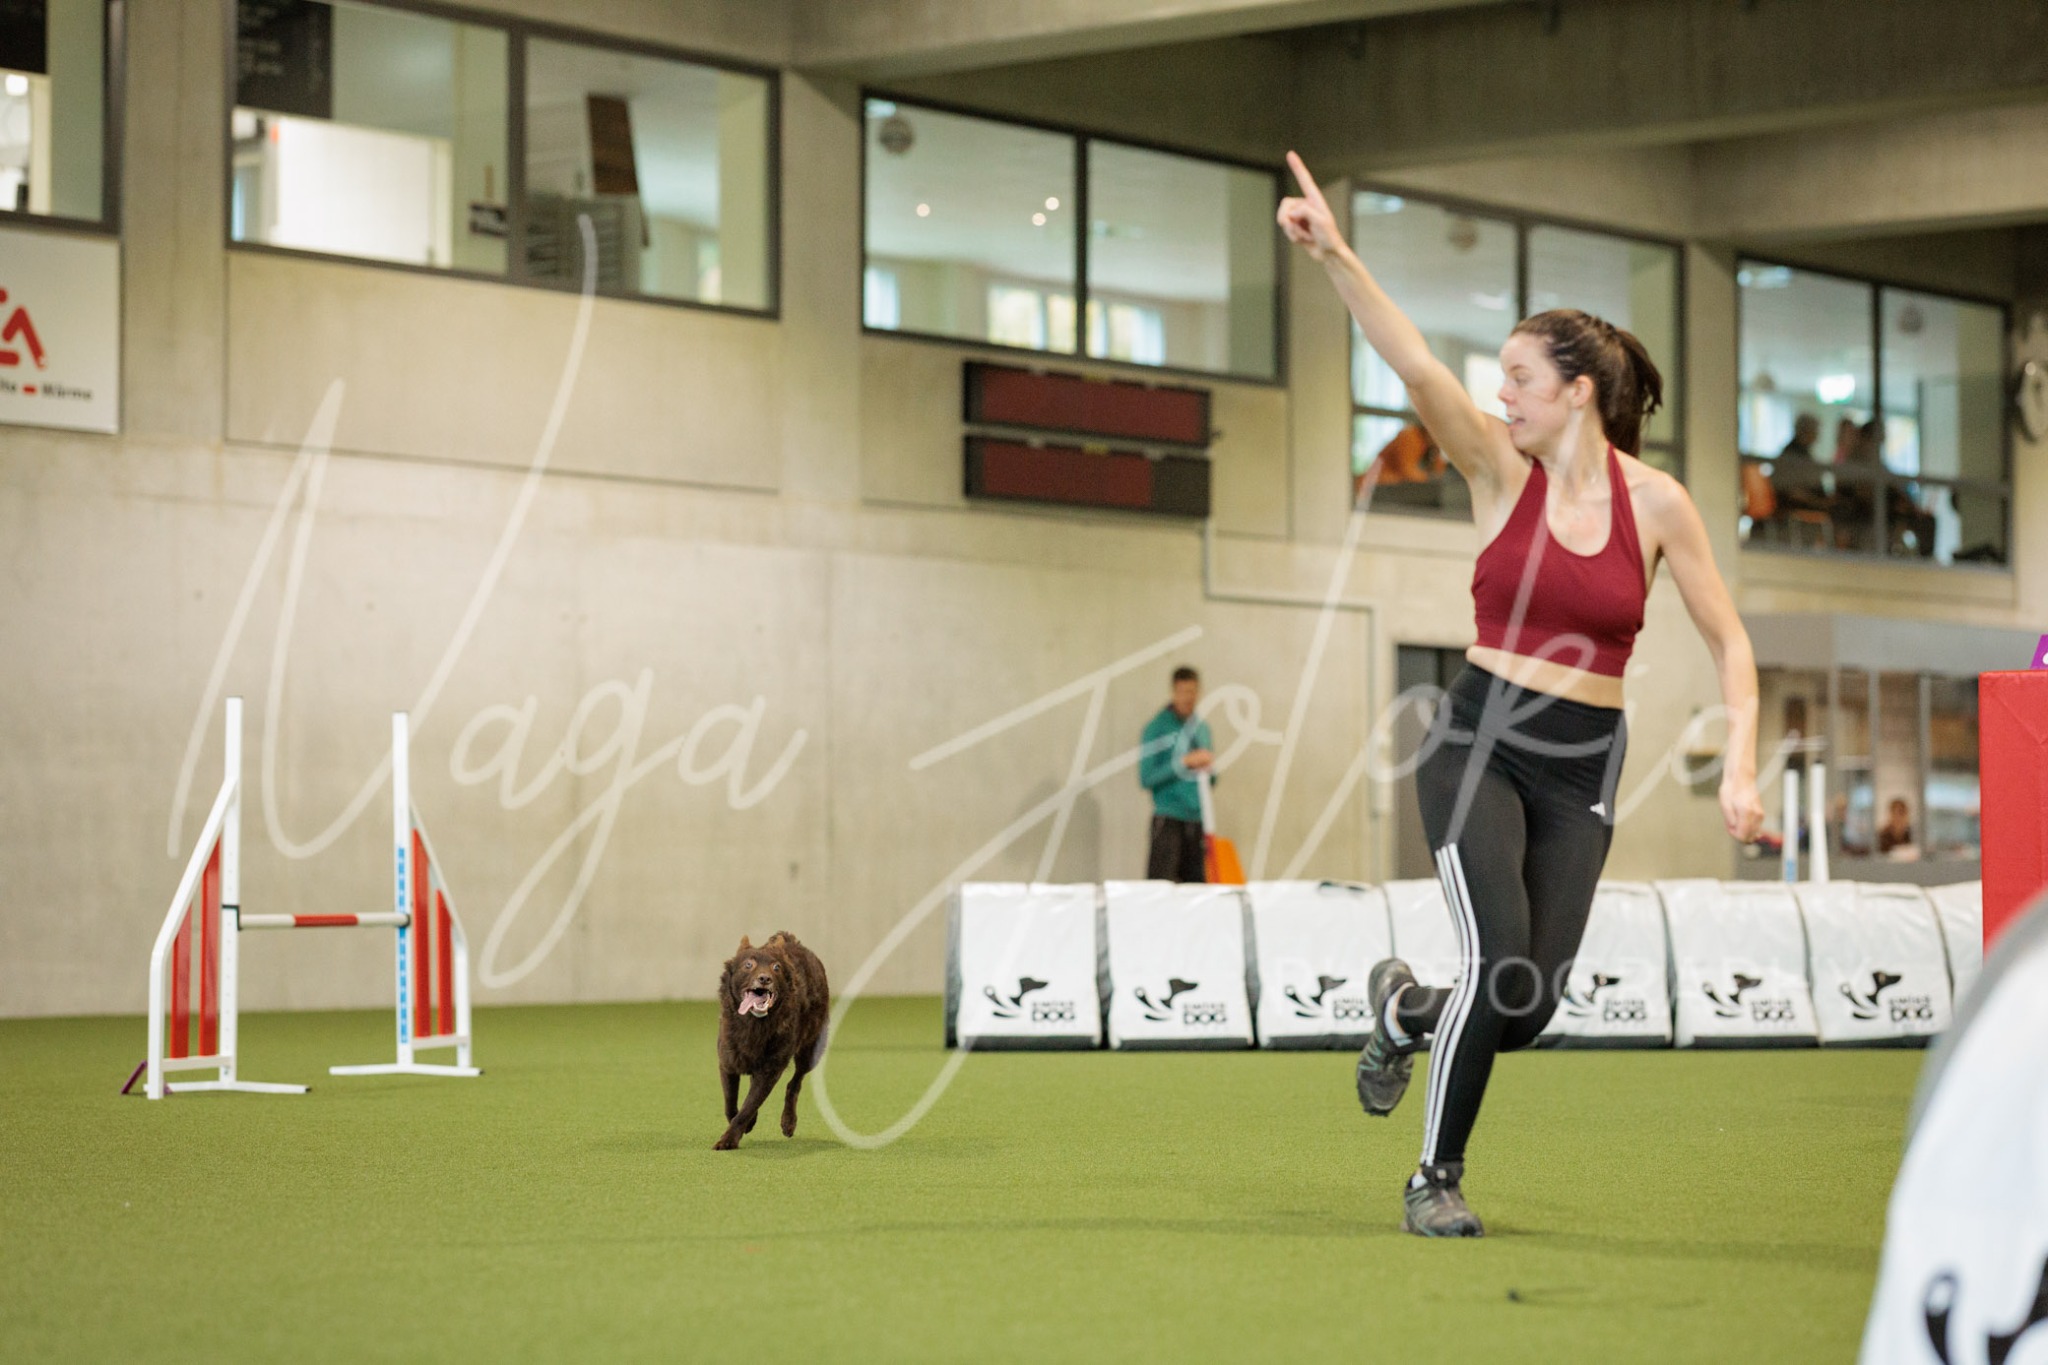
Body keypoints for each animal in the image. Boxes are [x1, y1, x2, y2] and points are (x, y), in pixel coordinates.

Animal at [714, 931, 830, 1151]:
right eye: (748, 965)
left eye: (776, 967)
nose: (764, 978)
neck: (754, 1024)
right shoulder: (728, 1062)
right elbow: (731, 1103)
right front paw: (745, 1124)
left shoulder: (770, 1070)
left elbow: (748, 1105)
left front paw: (728, 1139)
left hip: (810, 1050)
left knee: (795, 1083)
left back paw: (789, 1122)